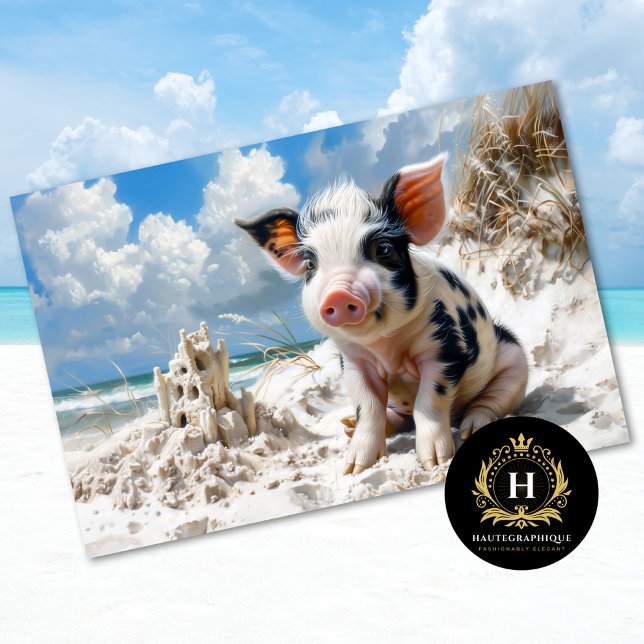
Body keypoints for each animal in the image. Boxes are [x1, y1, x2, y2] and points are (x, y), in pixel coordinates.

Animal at [236, 153, 528, 474]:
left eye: (383, 249)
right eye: (310, 264)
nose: (339, 293)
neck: (385, 346)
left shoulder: (445, 347)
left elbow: (428, 401)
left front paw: (434, 462)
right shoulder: (354, 363)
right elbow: (368, 407)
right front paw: (355, 468)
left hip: (515, 361)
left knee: (492, 401)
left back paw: (470, 428)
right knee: (397, 419)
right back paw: (347, 425)